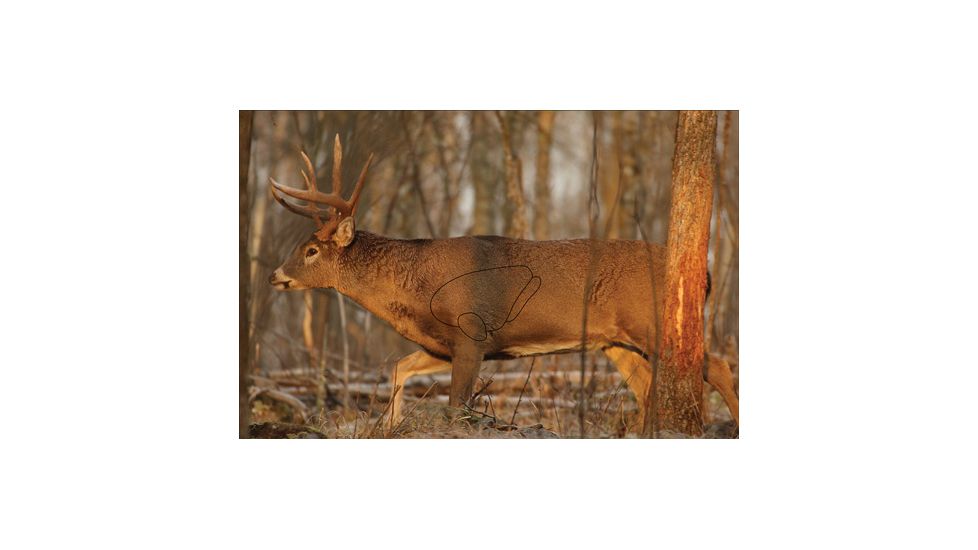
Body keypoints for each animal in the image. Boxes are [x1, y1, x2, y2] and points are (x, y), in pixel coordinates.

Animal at [268, 136, 739, 430]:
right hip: (614, 341)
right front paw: (391, 424)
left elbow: (457, 407)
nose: (275, 275)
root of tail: (706, 273)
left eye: (311, 250)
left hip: (652, 323)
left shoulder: (472, 334)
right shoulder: (443, 344)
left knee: (716, 367)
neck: (415, 291)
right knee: (646, 388)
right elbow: (399, 368)